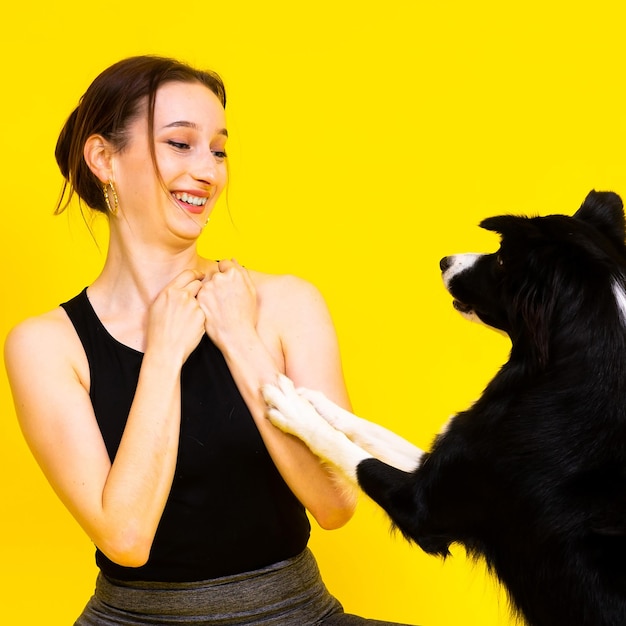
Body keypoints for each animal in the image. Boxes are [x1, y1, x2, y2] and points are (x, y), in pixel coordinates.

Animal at [260, 190, 624, 624]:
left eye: (502, 258)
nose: (444, 260)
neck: (562, 369)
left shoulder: (422, 507)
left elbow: (355, 458)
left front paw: (293, 409)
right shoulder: (446, 460)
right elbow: (366, 429)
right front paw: (313, 400)